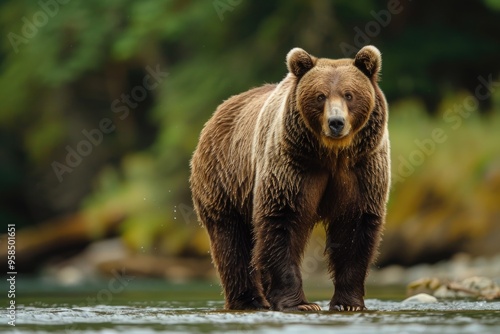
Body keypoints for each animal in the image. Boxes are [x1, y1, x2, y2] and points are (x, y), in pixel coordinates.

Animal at [189, 45, 388, 312]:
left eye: (349, 95)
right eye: (320, 96)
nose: (336, 123)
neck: (332, 154)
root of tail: (217, 113)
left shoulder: (363, 169)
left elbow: (355, 227)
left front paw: (349, 303)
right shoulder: (292, 165)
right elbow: (282, 221)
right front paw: (301, 304)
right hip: (225, 180)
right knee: (231, 241)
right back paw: (250, 301)